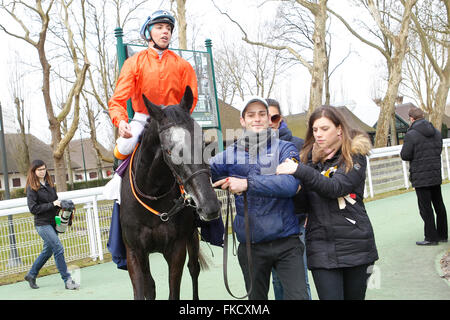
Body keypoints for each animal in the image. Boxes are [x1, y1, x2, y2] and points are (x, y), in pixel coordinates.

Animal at [119, 86, 221, 298]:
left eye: (203, 144)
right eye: (169, 151)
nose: (210, 206)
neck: (152, 195)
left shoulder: (176, 249)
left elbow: (175, 290)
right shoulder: (134, 252)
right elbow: (143, 289)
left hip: (192, 236)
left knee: (194, 268)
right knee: (150, 285)